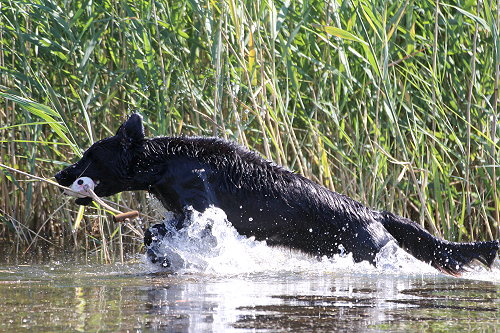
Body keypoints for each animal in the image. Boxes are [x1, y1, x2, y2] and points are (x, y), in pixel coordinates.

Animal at [54, 113, 496, 274]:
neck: (164, 162)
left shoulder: (201, 206)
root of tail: (374, 212)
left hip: (370, 250)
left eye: (90, 156)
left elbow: (165, 232)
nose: (61, 174)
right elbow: (156, 231)